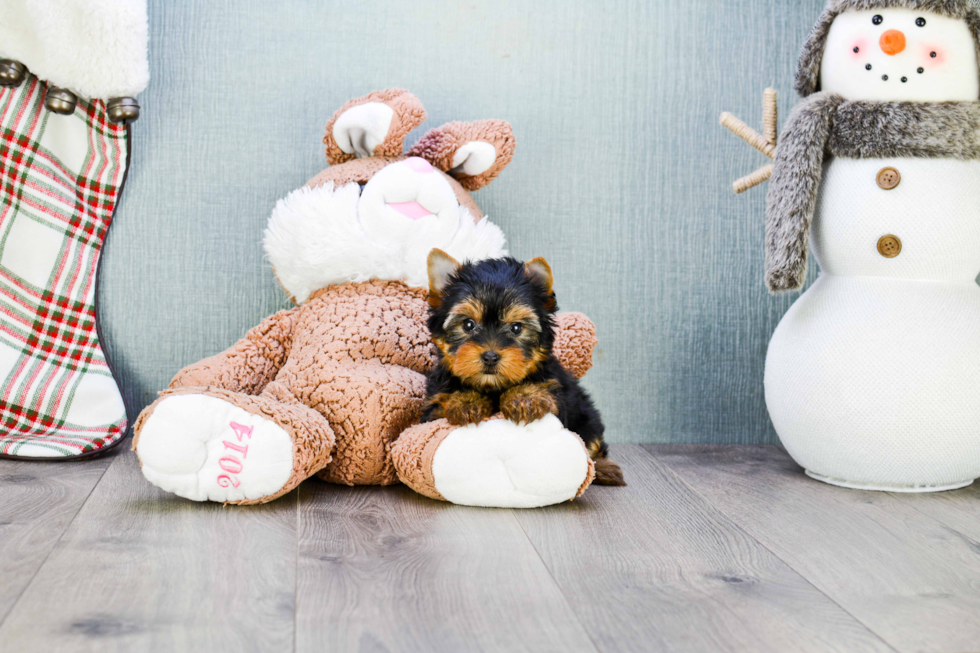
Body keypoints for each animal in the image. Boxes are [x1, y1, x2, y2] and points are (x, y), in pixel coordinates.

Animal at [418, 248, 624, 484]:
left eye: (516, 328)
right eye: (468, 324)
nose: (490, 356)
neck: (493, 387)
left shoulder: (557, 396)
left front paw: (524, 397)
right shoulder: (432, 409)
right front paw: (465, 401)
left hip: (586, 417)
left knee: (592, 442)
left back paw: (605, 468)